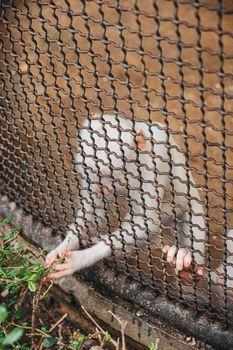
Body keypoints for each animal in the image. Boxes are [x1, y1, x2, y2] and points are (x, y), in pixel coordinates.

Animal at [45, 114, 206, 278]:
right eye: (90, 171)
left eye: (107, 174)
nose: (99, 188)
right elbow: (94, 211)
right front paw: (65, 246)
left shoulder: (153, 166)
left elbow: (146, 222)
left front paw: (81, 258)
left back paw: (186, 268)